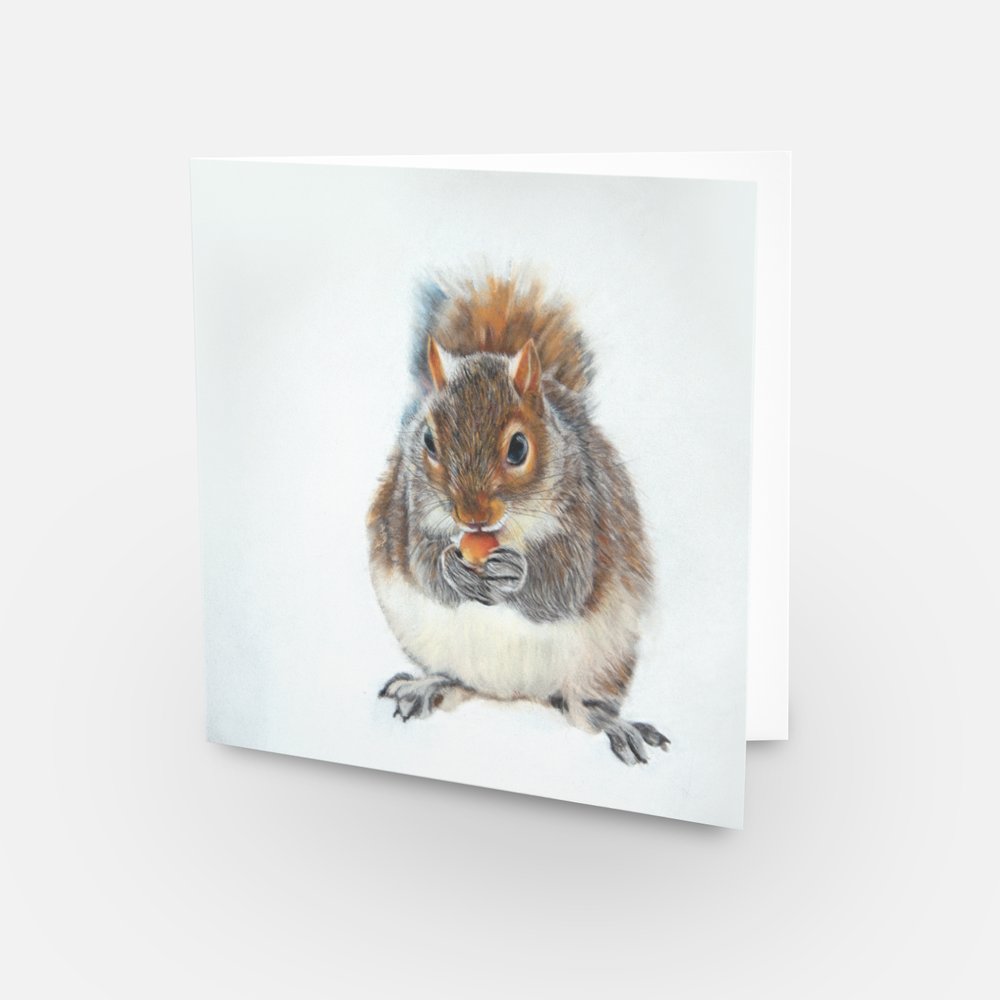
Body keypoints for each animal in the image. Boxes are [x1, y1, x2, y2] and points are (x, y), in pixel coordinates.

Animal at [367, 272, 670, 765]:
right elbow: (421, 564)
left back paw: (619, 725)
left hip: (604, 662)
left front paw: (516, 573)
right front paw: (450, 568)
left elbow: (566, 584)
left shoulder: (584, 516)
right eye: (428, 441)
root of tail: (511, 694)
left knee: (587, 710)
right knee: (456, 679)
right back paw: (424, 685)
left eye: (518, 448)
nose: (471, 516)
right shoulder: (409, 513)